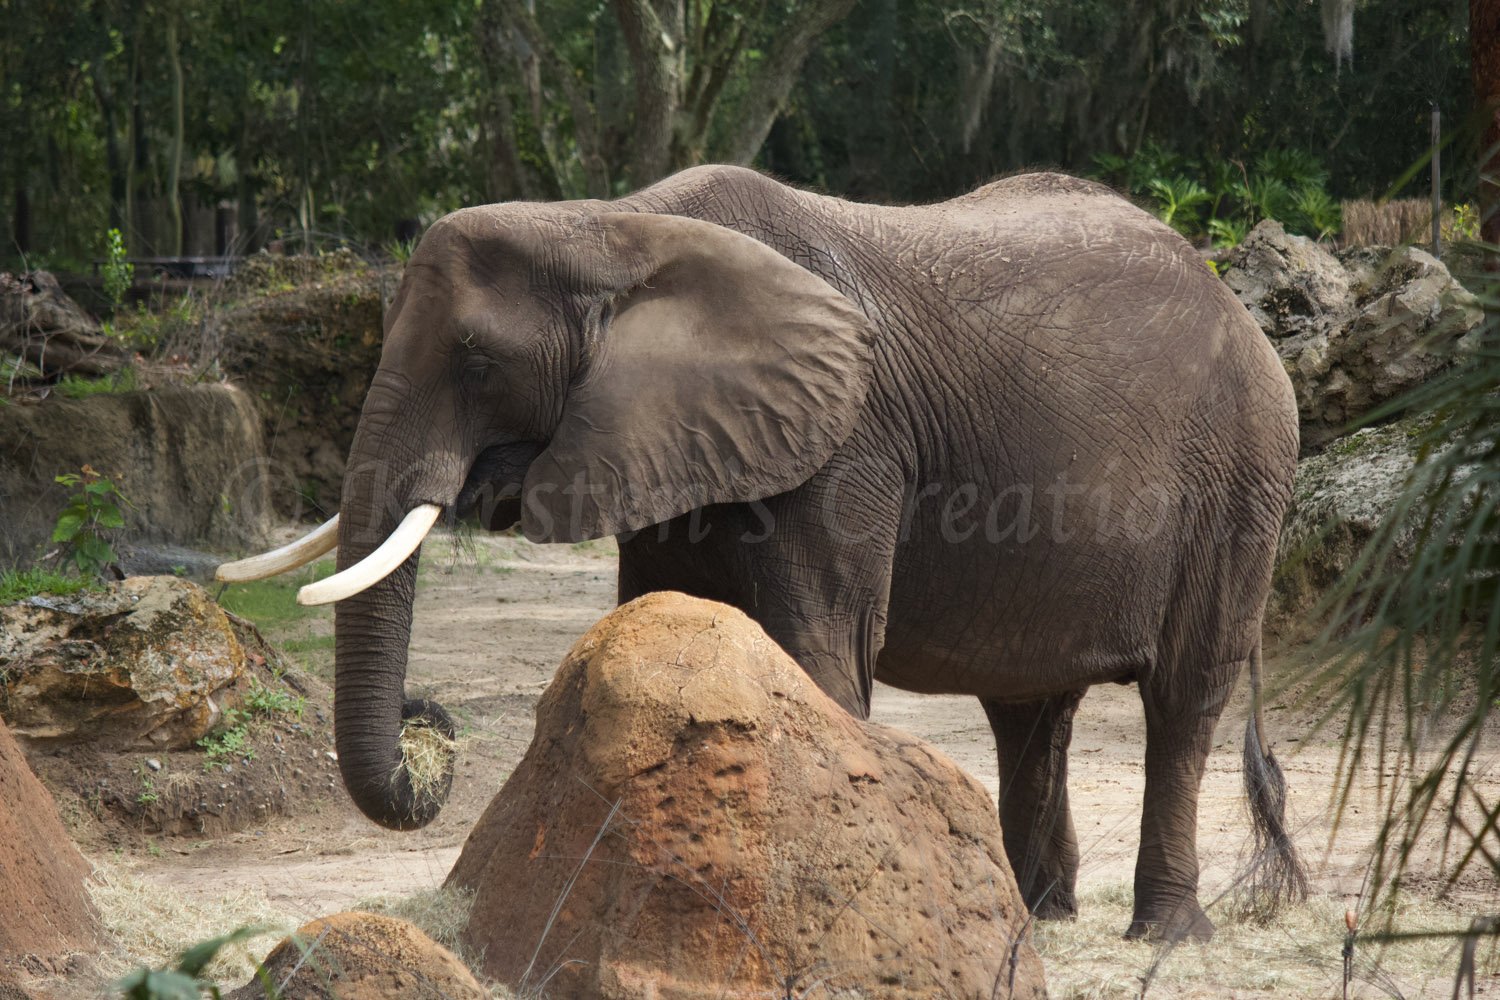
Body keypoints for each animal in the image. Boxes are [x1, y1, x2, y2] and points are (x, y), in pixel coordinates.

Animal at [218, 164, 1306, 942]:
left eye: (478, 360)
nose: (429, 720)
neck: (617, 224)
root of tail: (1242, 309)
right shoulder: (664, 433)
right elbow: (659, 618)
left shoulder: (847, 439)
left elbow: (817, 645)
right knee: (1030, 708)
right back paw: (1033, 917)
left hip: (1244, 475)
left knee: (1183, 699)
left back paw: (1165, 932)